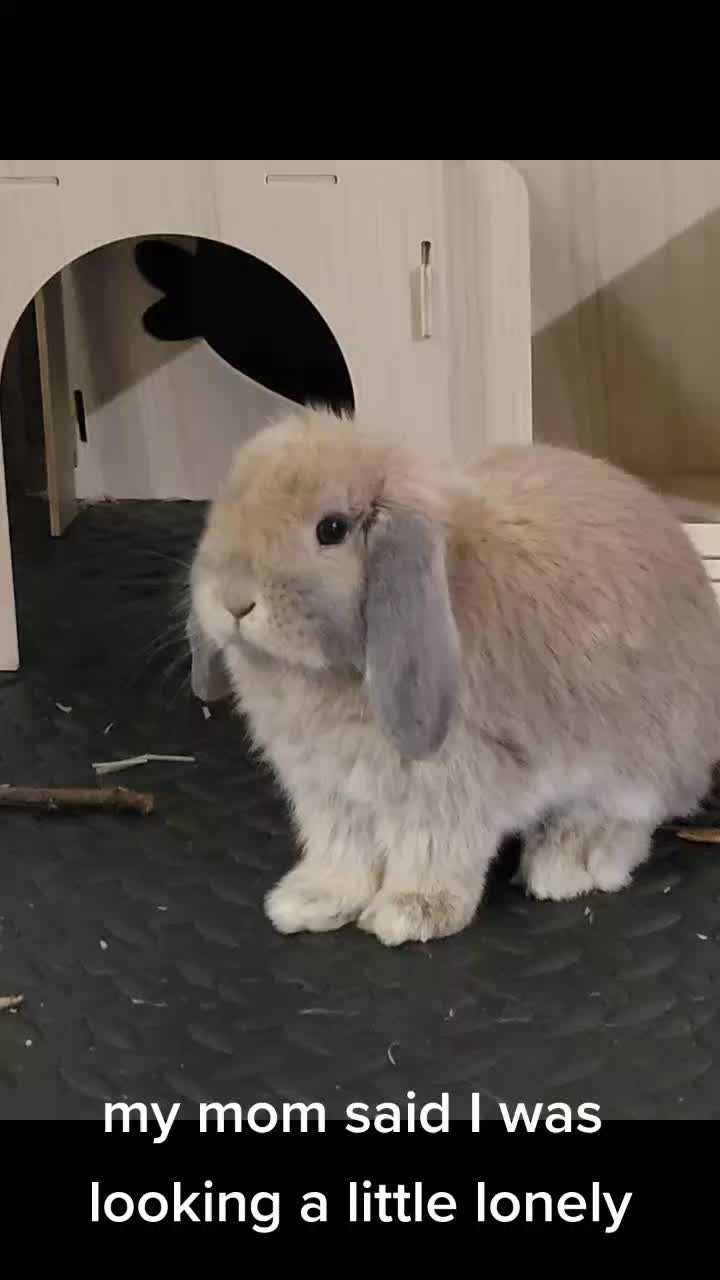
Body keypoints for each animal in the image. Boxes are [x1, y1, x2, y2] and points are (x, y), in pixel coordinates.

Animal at [187, 406, 720, 946]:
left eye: (331, 528)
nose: (231, 601)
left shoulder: (451, 782)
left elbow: (433, 847)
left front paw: (411, 912)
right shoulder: (329, 792)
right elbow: (343, 850)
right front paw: (310, 900)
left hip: (636, 761)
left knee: (632, 814)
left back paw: (570, 861)